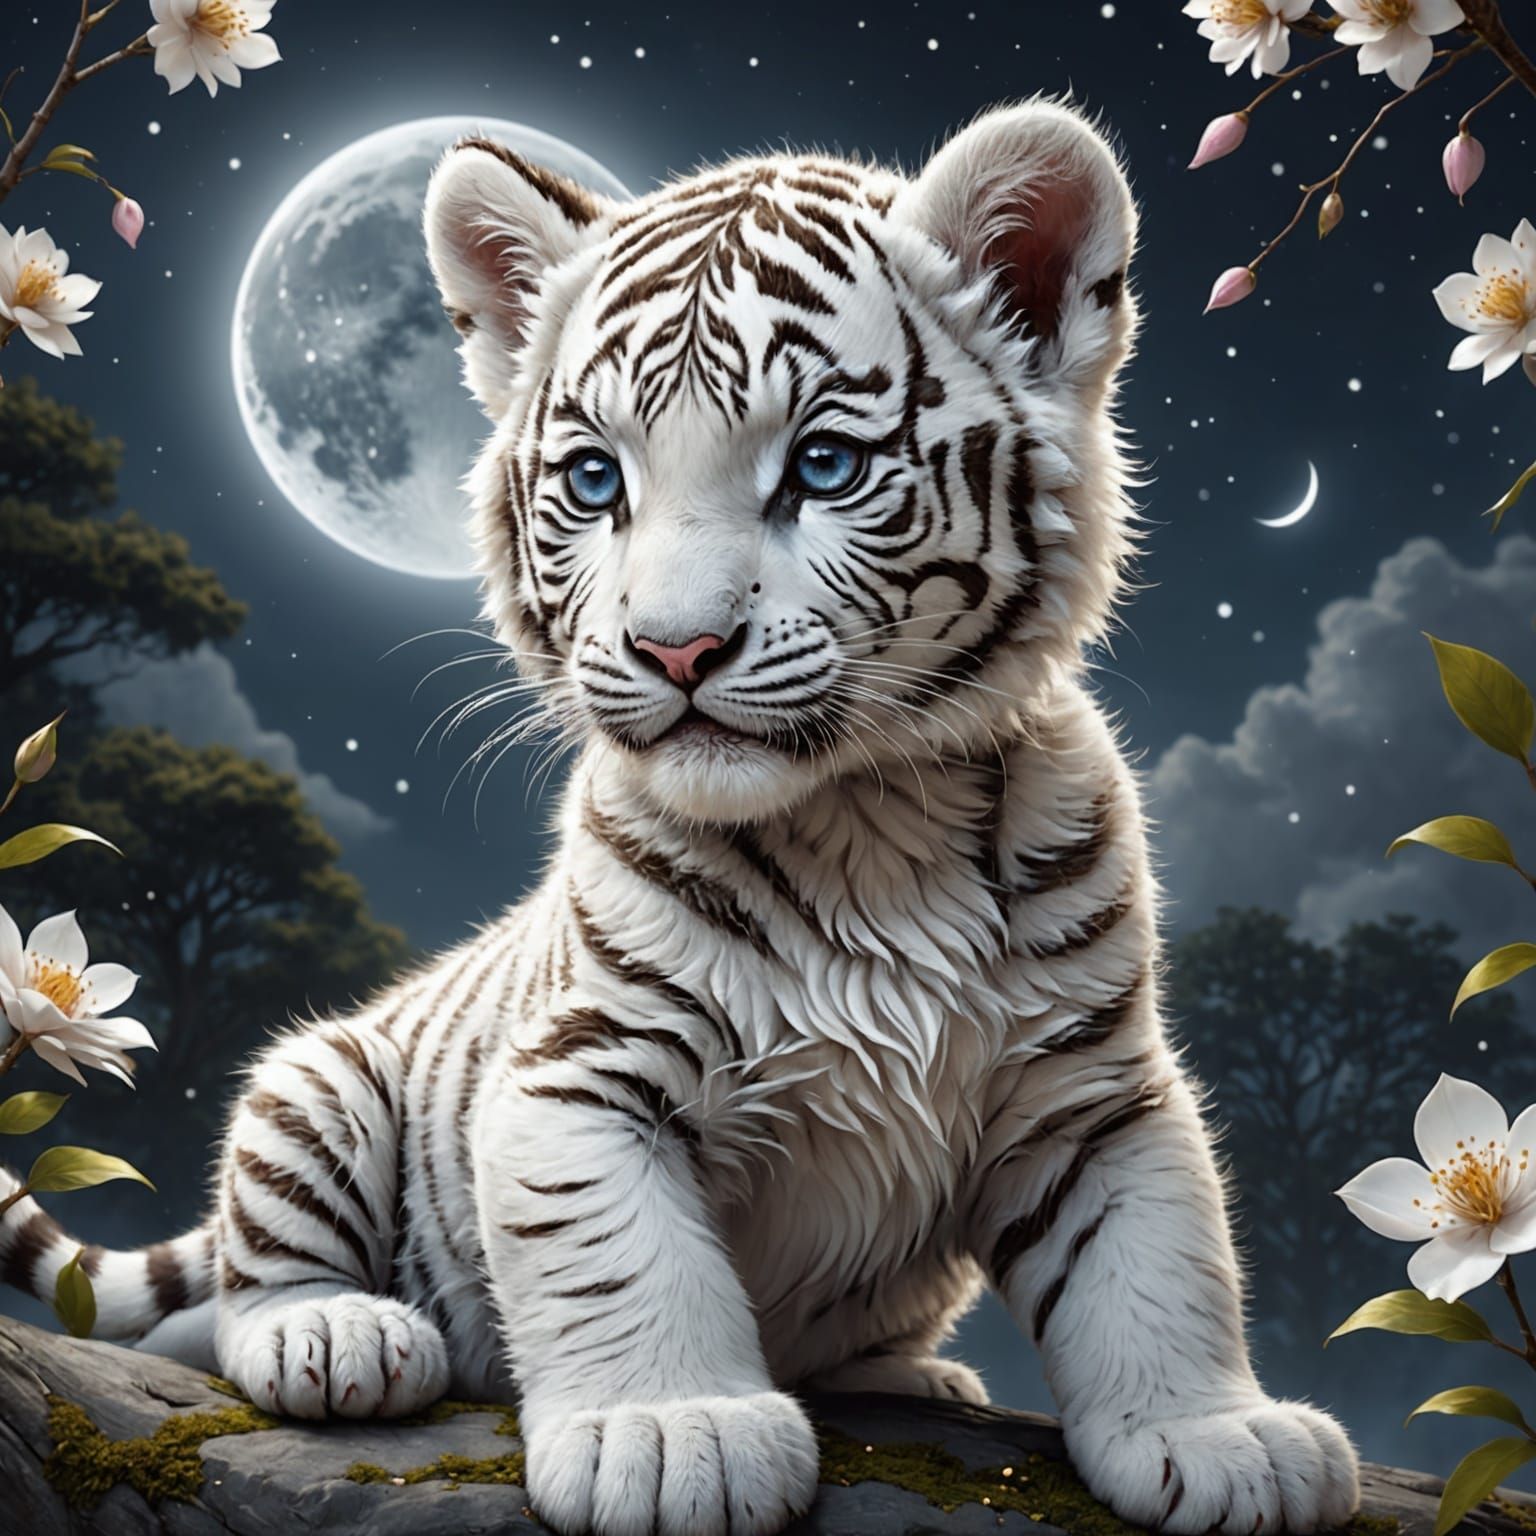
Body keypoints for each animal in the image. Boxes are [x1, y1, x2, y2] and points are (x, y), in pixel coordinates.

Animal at [0, 100, 1360, 1536]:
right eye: (597, 482)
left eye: (823, 463)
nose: (677, 648)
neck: (873, 820)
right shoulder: (579, 1070)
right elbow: (620, 1258)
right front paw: (668, 1434)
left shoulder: (1092, 1087)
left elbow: (1155, 1262)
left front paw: (1220, 1437)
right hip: (319, 1087)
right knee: (247, 1279)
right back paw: (337, 1338)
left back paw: (919, 1377)